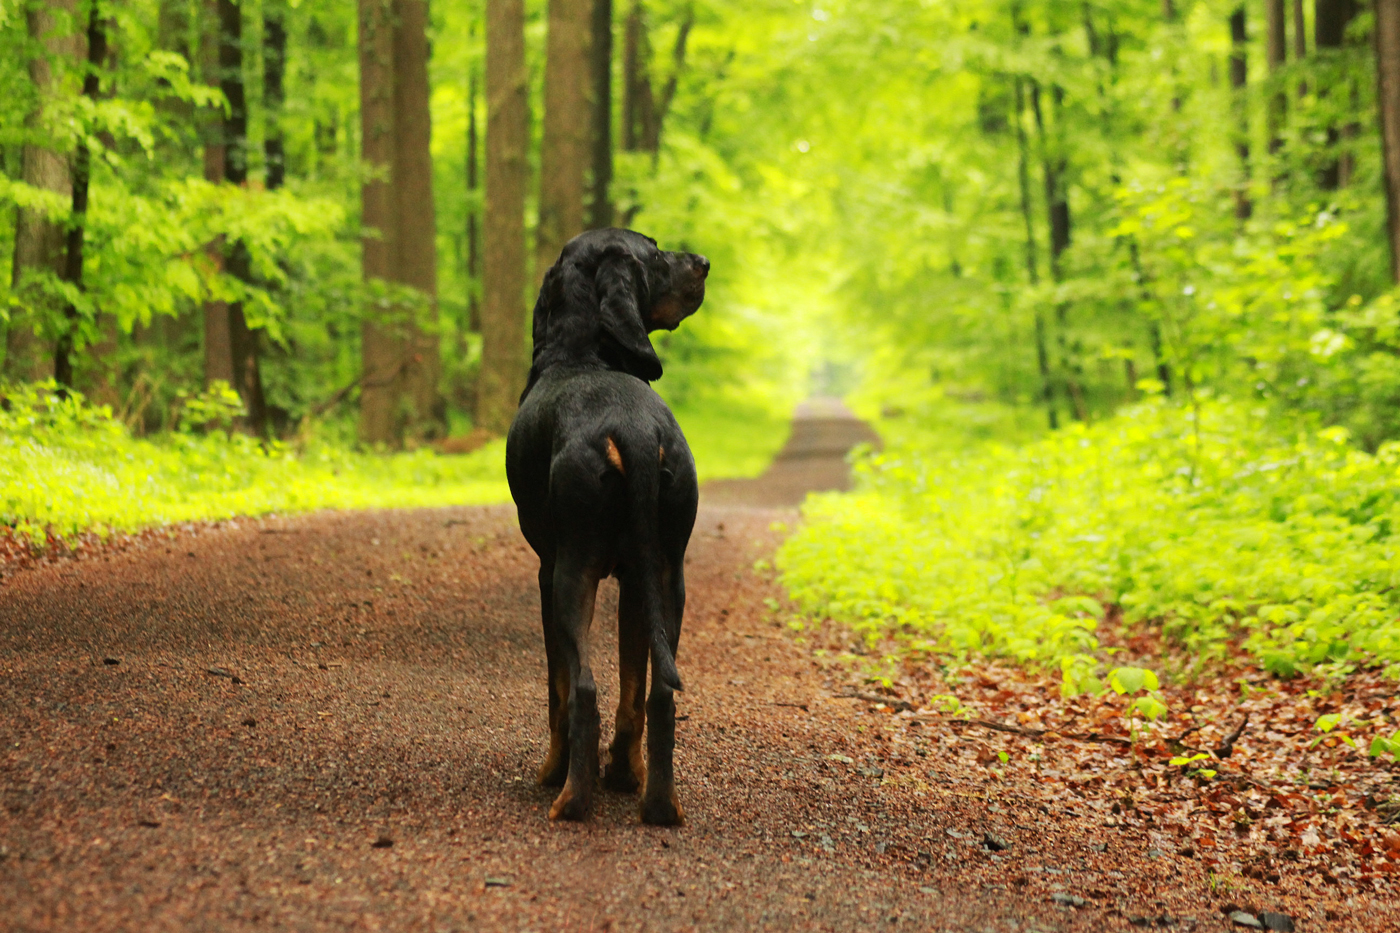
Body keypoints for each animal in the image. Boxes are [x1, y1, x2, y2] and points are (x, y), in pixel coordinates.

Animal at [506, 225, 711, 823]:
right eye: (656, 253)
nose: (704, 262)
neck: (582, 356)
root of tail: (635, 431)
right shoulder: (634, 580)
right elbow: (633, 686)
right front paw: (624, 772)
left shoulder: (548, 571)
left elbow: (557, 688)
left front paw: (559, 770)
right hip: (666, 574)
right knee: (659, 695)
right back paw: (659, 802)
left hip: (572, 573)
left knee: (583, 690)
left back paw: (570, 795)